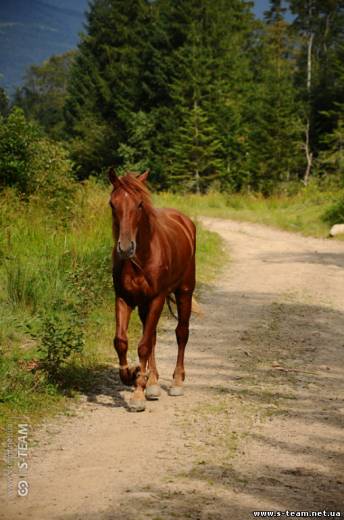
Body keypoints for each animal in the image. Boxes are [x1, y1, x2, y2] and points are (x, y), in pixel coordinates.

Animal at [110, 169, 196, 412]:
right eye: (112, 204)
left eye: (139, 204)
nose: (125, 248)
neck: (142, 258)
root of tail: (185, 222)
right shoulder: (124, 298)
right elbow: (122, 341)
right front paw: (132, 374)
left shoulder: (157, 298)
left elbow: (144, 345)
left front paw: (138, 394)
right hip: (144, 304)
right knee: (154, 337)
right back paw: (154, 383)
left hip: (185, 291)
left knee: (181, 333)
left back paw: (176, 382)